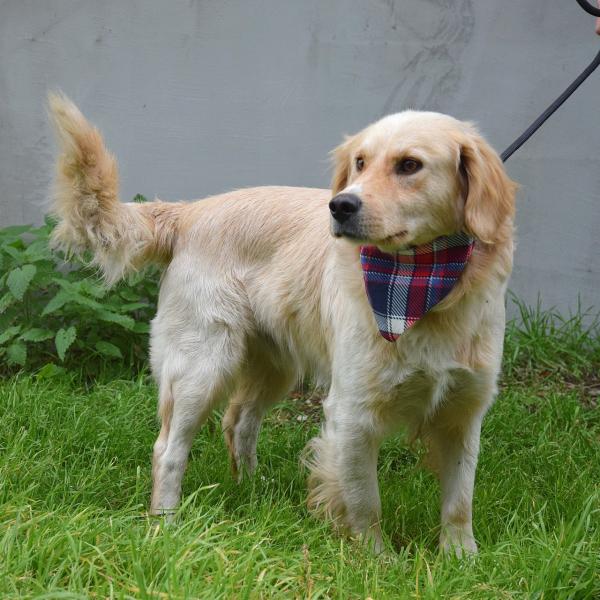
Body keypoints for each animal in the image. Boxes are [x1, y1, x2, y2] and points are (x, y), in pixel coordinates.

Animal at [48, 93, 516, 555]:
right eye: (360, 163)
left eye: (409, 165)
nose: (340, 205)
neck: (423, 285)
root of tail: (191, 212)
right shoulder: (353, 411)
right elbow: (365, 501)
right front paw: (375, 560)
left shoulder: (464, 412)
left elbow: (459, 501)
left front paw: (461, 559)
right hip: (203, 365)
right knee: (168, 448)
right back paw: (166, 523)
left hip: (273, 366)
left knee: (238, 421)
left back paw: (253, 492)